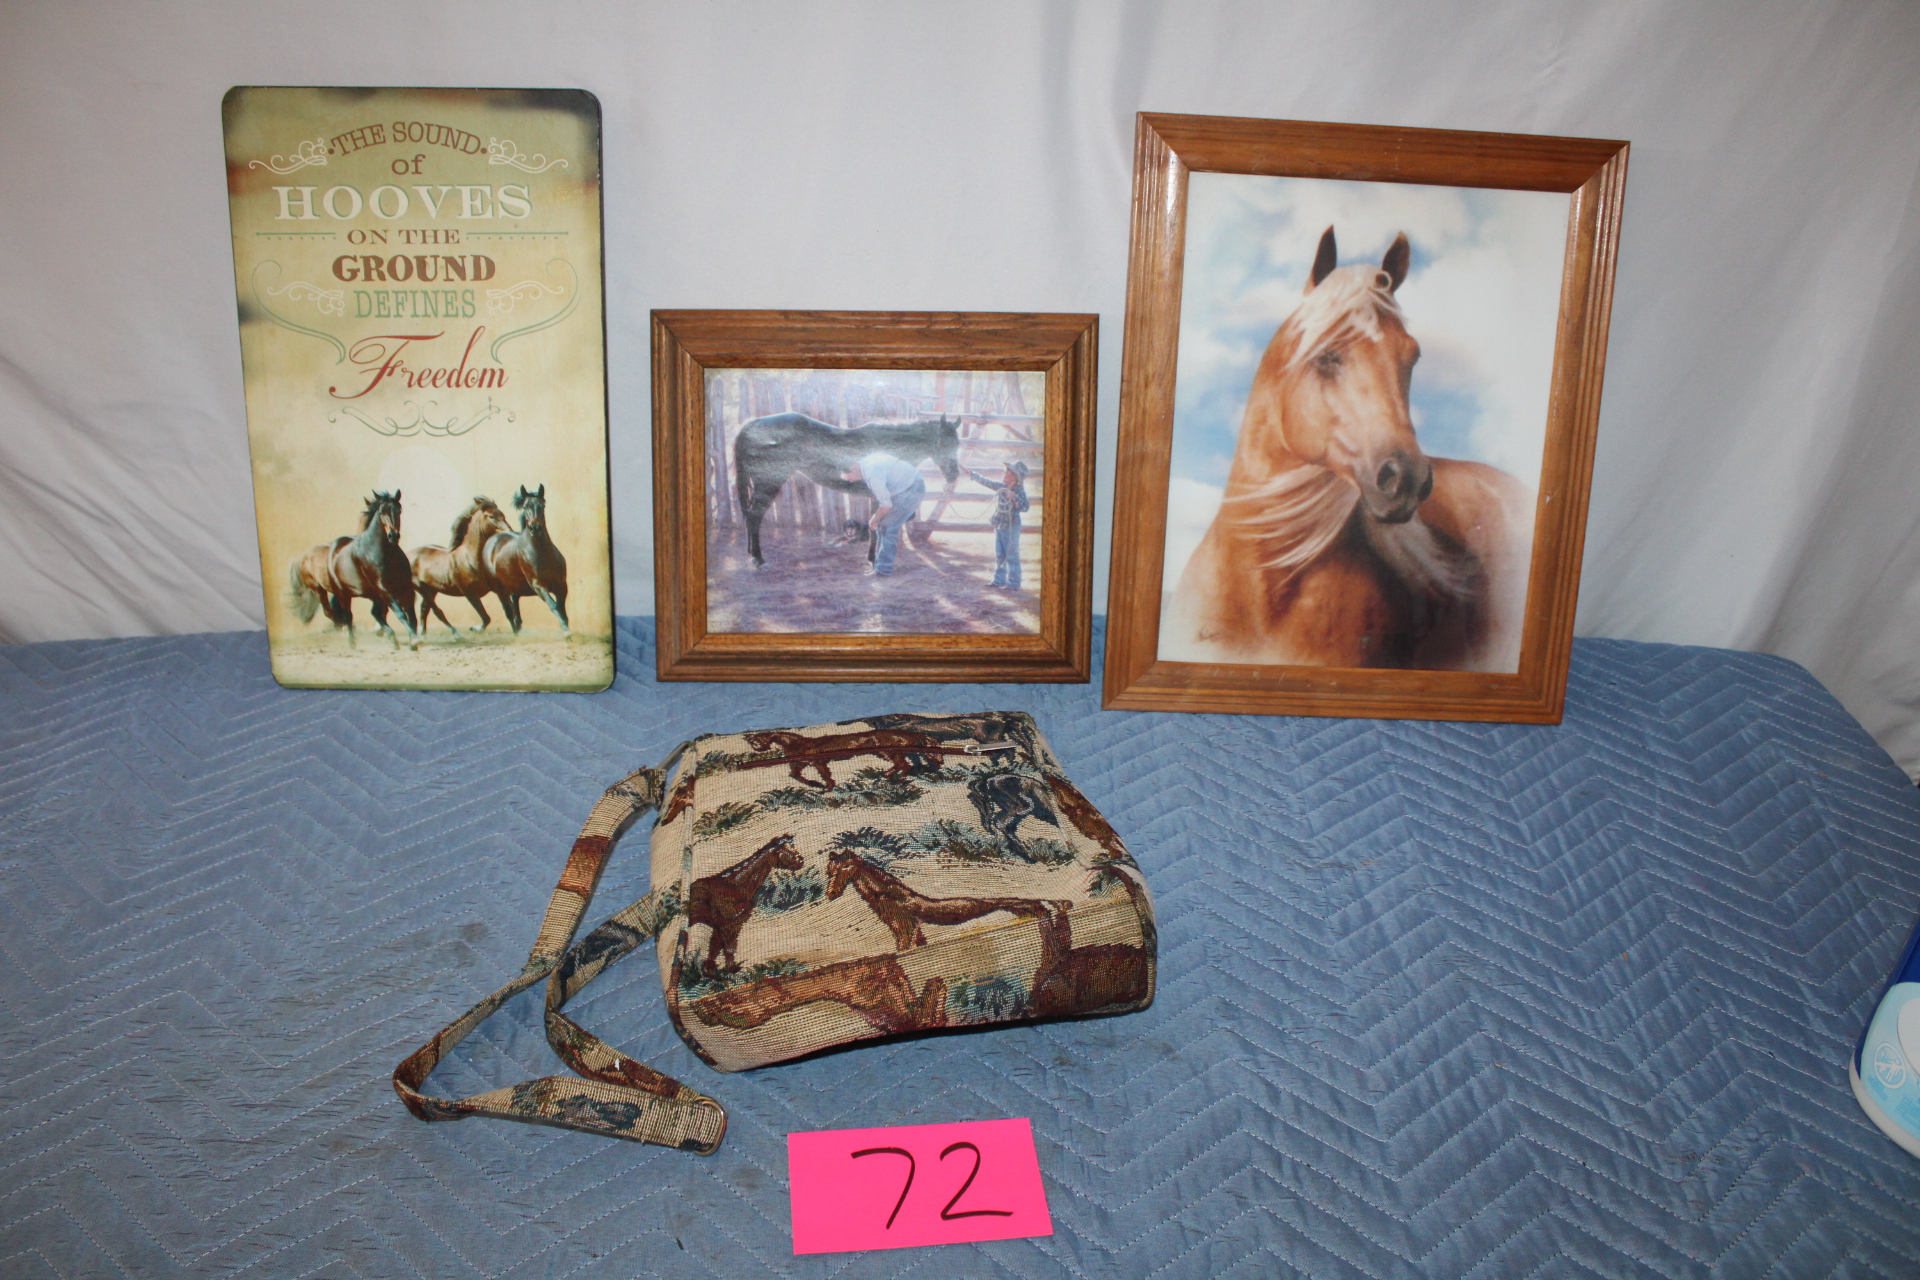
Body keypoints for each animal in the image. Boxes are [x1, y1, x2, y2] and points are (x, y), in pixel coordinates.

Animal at [410, 497, 513, 636]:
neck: (470, 559)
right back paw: (456, 635)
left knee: (424, 609)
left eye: (502, 514)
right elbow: (486, 618)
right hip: (421, 587)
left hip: (432, 589)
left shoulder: (499, 590)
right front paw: (474, 628)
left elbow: (509, 614)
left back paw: (423, 635)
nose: (509, 532)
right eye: (491, 516)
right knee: (437, 611)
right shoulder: (469, 593)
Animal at [483, 484, 571, 635]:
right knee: (509, 613)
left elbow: (562, 610)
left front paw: (567, 631)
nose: (535, 528)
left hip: (514, 589)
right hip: (500, 590)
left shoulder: (561, 585)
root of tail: (492, 540)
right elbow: (553, 606)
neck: (543, 554)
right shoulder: (538, 585)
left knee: (516, 614)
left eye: (542, 505)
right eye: (525, 506)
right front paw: (566, 633)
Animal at [686, 834, 804, 972]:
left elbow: (714, 950)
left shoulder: (721, 927)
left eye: (793, 846)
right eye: (784, 850)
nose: (800, 861)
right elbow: (728, 949)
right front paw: (732, 970)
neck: (734, 886)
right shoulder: (729, 925)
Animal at [731, 412, 962, 568]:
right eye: (941, 443)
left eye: (957, 444)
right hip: (769, 482)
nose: (954, 475)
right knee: (755, 516)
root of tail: (752, 424)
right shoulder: (879, 495)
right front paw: (872, 559)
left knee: (751, 516)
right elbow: (877, 525)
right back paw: (759, 558)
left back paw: (751, 554)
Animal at [825, 850, 1066, 951]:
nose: (831, 893)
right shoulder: (908, 929)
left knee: (1038, 907)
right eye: (829, 870)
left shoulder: (906, 926)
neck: (889, 896)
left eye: (845, 868)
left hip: (1017, 903)